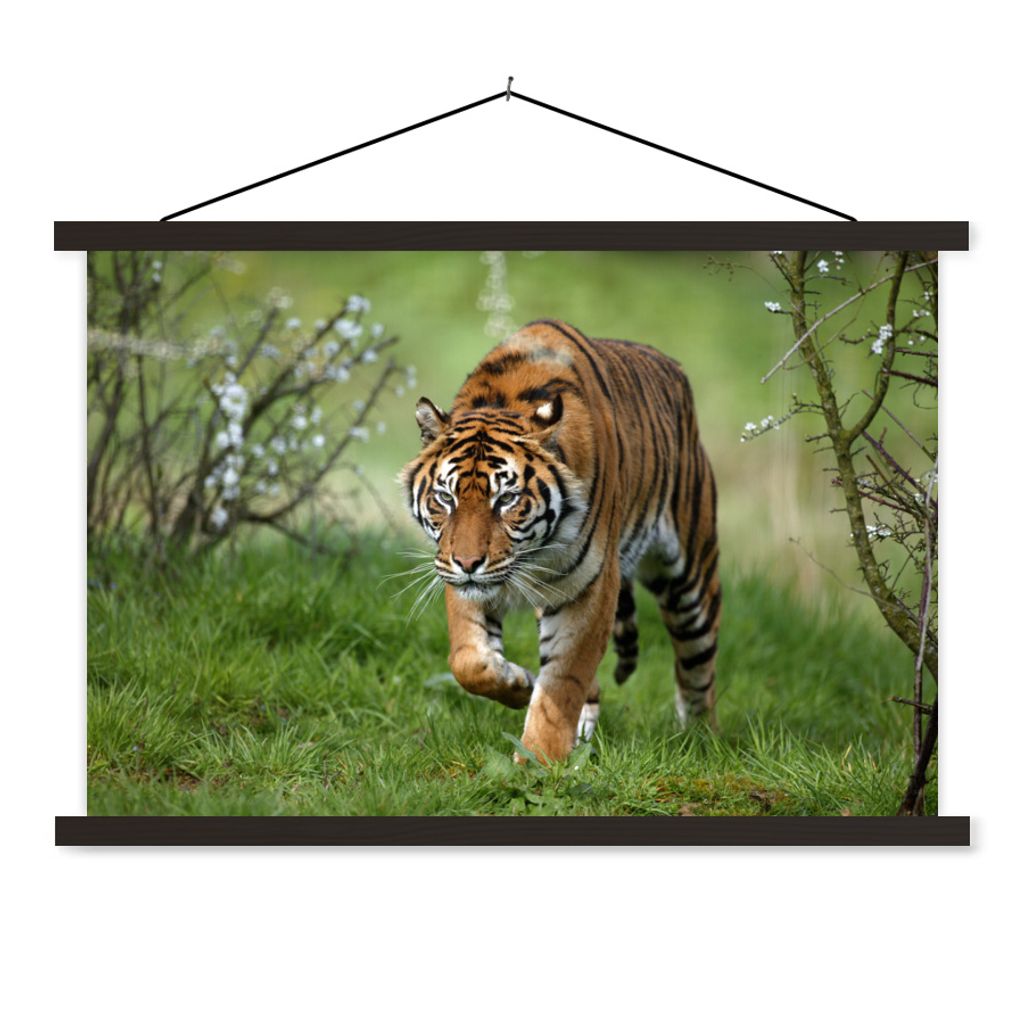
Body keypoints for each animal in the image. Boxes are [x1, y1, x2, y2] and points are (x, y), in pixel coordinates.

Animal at [401, 319, 721, 763]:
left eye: (507, 499)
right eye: (445, 498)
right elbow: (468, 660)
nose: (468, 563)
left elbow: (562, 683)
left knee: (698, 669)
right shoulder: (457, 576)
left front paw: (538, 760)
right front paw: (519, 685)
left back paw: (700, 741)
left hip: (691, 581)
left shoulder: (591, 587)